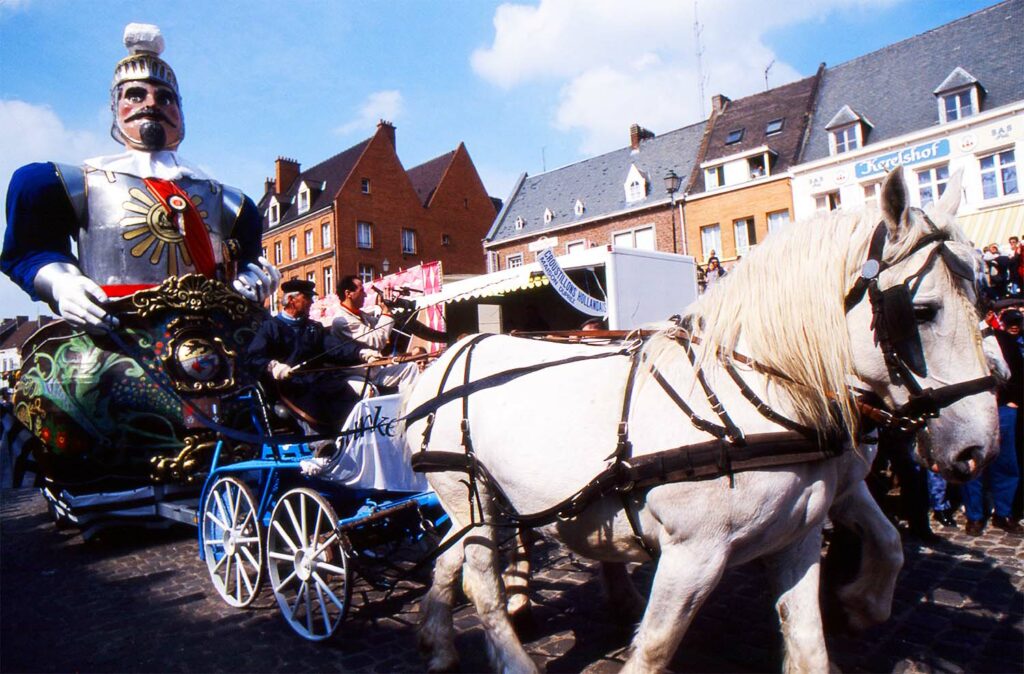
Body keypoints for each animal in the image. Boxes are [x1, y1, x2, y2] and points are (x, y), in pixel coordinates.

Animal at [401, 164, 999, 667]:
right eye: (921, 310)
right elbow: (655, 647)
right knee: (481, 584)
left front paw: (859, 602)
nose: (979, 448)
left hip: (485, 505)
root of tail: (443, 359)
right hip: (468, 494)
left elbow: (829, 619)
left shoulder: (803, 533)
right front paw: (859, 598)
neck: (758, 396)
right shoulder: (693, 554)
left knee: (452, 561)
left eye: (981, 293)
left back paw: (437, 641)